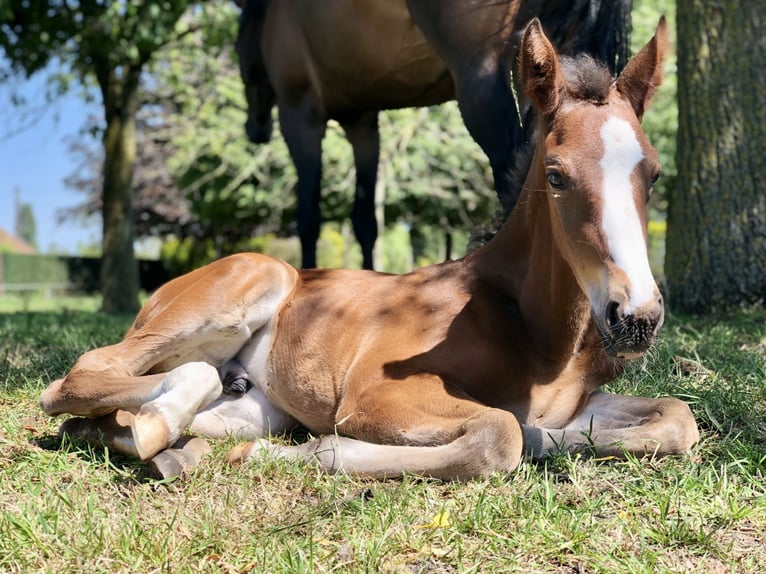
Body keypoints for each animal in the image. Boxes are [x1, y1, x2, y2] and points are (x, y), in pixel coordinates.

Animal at [235, 0, 633, 269]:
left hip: (479, 73)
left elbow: (308, 218)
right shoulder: (362, 124)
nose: (254, 130)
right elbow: (365, 221)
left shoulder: (300, 116)